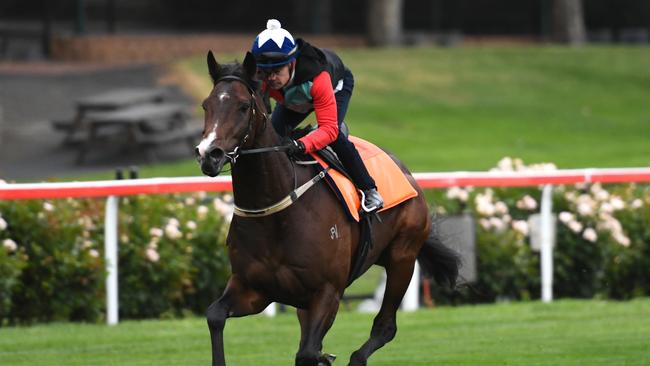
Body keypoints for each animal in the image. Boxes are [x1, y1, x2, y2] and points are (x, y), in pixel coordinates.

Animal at [195, 49, 458, 366]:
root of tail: (407, 174)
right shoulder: (254, 289)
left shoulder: (328, 292)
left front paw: (323, 356)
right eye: (206, 105)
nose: (209, 154)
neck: (276, 212)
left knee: (385, 327)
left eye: (243, 106)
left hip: (402, 257)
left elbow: (308, 352)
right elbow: (214, 315)